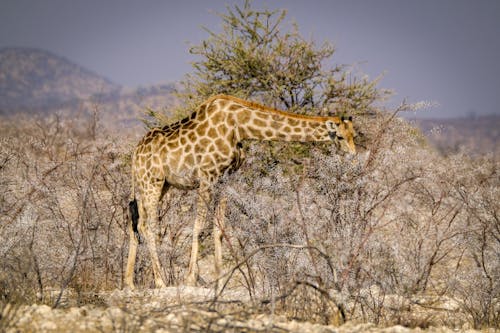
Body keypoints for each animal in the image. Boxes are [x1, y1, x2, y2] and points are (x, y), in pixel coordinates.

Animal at [124, 93, 356, 288]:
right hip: (152, 182)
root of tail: (135, 153)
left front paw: (219, 280)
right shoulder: (207, 177)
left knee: (136, 222)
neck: (240, 127)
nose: (353, 156)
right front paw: (190, 279)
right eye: (340, 137)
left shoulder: (225, 179)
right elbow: (198, 225)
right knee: (148, 226)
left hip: (156, 185)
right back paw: (160, 282)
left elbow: (219, 228)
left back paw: (130, 282)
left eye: (354, 134)